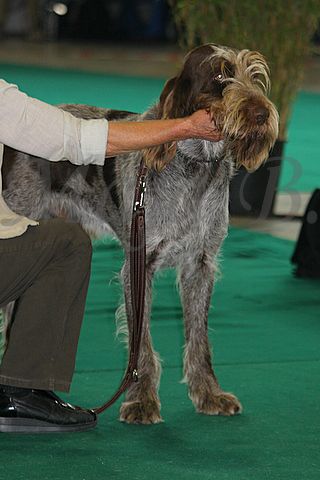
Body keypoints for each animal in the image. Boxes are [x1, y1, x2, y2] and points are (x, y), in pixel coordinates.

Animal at [1, 44, 278, 424]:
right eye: (220, 75)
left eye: (254, 75)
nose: (262, 113)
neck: (194, 167)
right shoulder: (138, 264)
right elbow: (141, 343)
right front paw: (142, 400)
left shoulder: (200, 265)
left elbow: (199, 340)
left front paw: (208, 393)